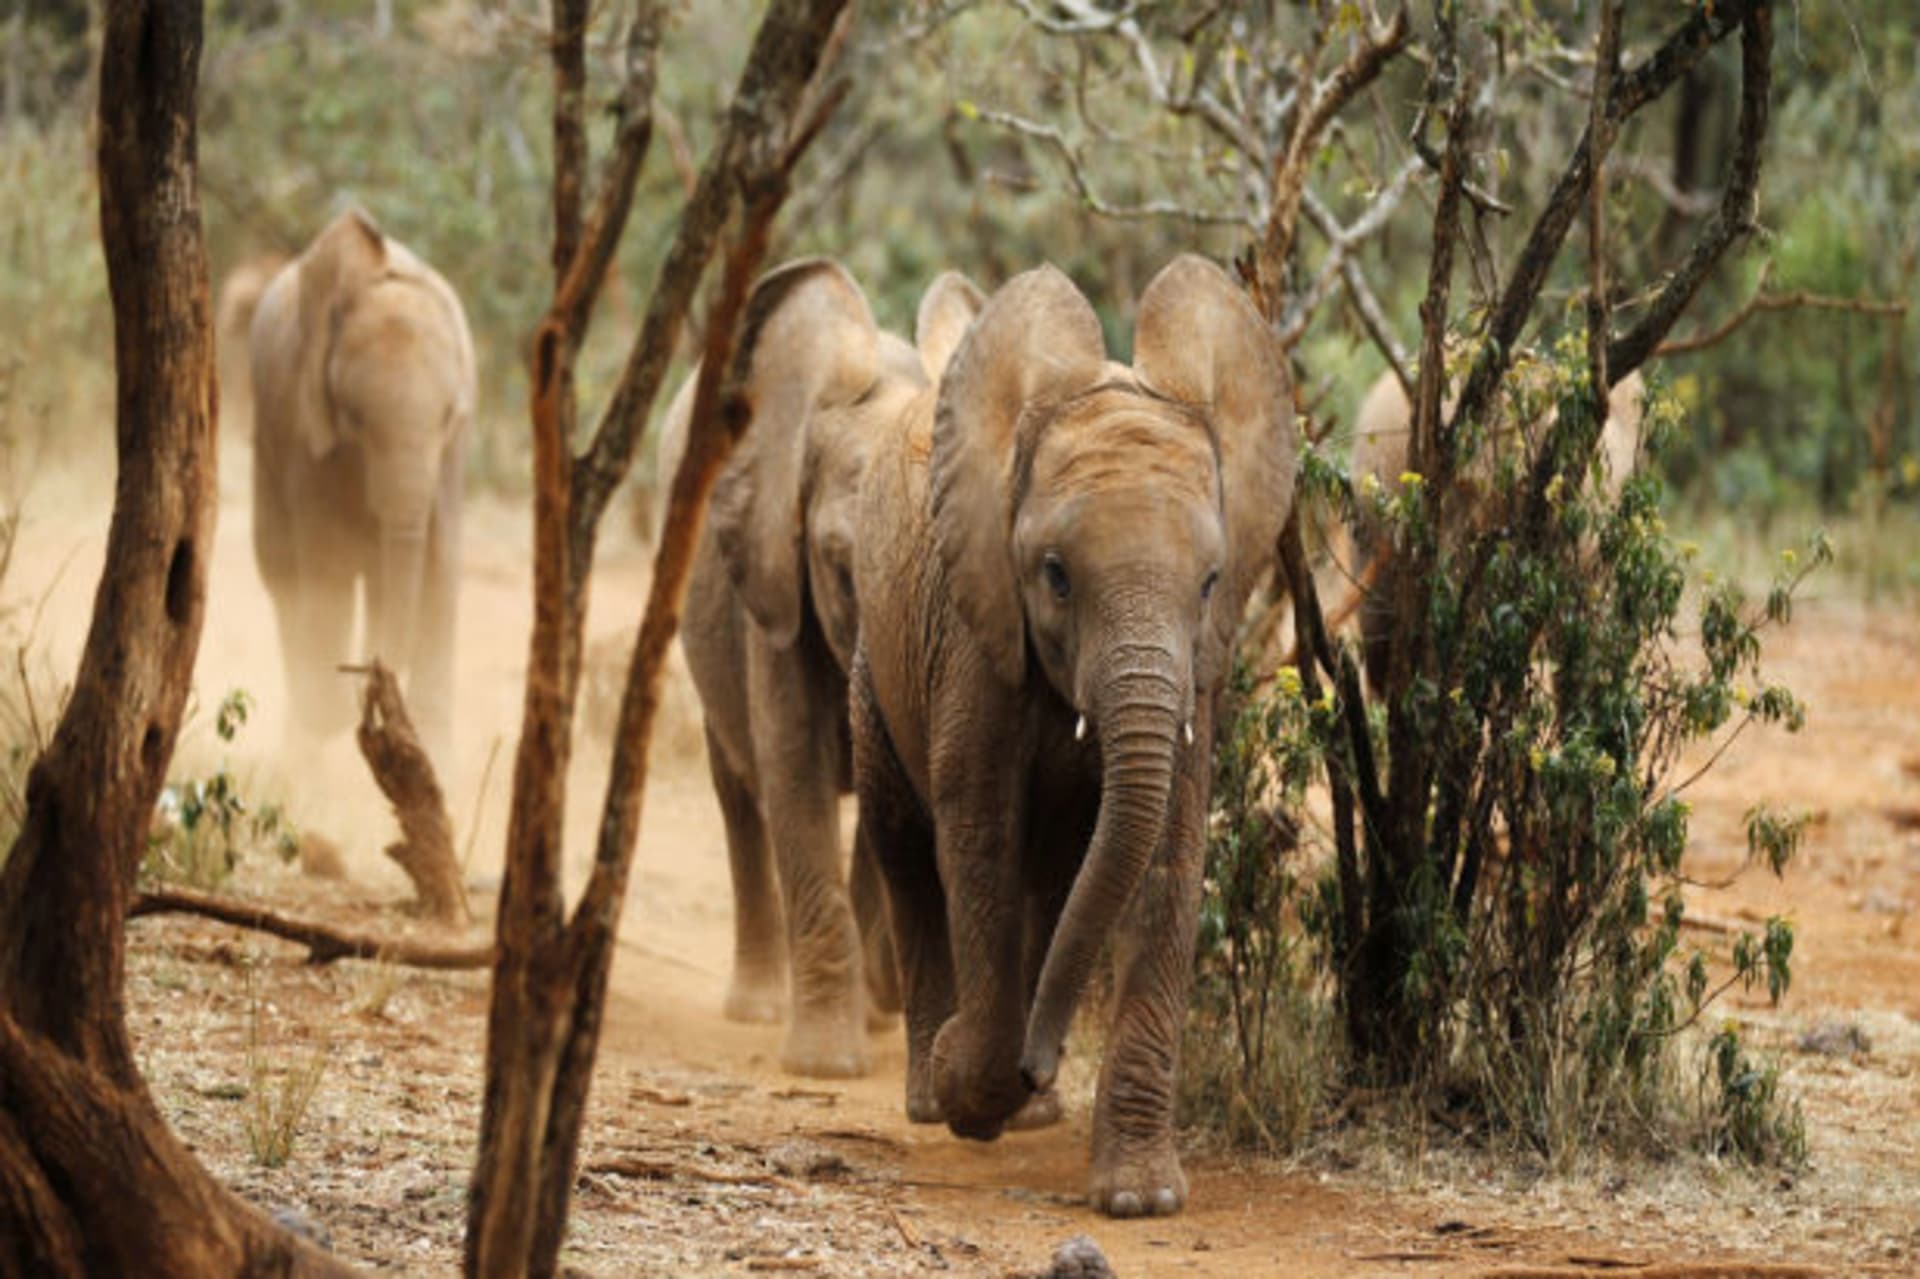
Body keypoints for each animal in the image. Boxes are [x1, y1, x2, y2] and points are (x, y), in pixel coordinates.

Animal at [248, 208, 474, 768]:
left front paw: (437, 754)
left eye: (448, 418)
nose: (371, 674)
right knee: (281, 572)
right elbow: (326, 568)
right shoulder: (305, 432)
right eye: (353, 419)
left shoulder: (450, 457)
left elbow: (441, 562)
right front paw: (329, 714)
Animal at [661, 257, 987, 1078]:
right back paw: (757, 1007)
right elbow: (793, 765)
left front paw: (876, 1016)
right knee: (737, 788)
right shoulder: (775, 580)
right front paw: (824, 1064)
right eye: (843, 567)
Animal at [849, 255, 1296, 1216]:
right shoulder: (975, 632)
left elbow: (1167, 853)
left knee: (1053, 880)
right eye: (1054, 575)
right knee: (907, 847)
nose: (1043, 1059)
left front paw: (1141, 1197)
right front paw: (966, 1080)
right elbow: (978, 835)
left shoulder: (1199, 671)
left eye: (1212, 581)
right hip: (875, 661)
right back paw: (937, 1091)